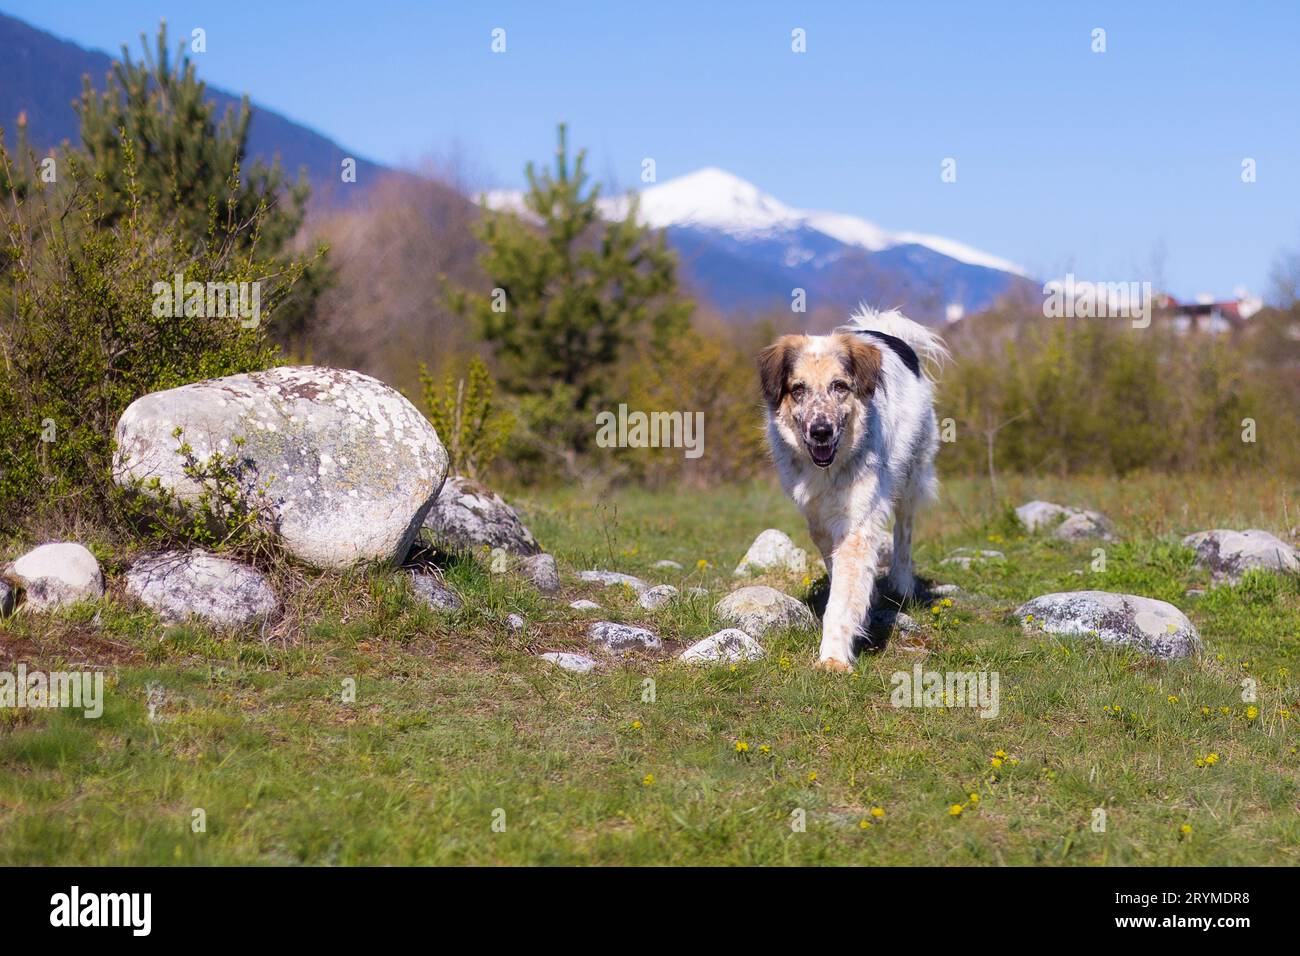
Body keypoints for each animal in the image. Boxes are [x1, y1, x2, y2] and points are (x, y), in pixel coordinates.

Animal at [759, 306, 951, 671]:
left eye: (839, 387)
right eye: (798, 389)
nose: (820, 431)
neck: (829, 469)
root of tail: (884, 331)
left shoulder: (858, 521)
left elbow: (842, 595)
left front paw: (833, 656)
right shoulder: (818, 519)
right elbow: (840, 572)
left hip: (911, 472)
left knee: (904, 529)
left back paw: (901, 581)